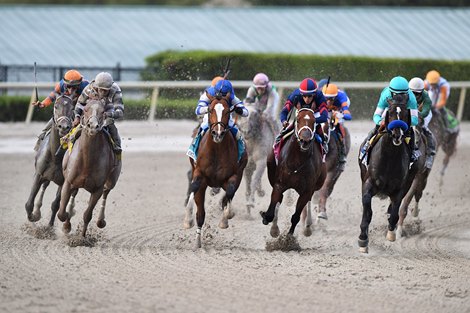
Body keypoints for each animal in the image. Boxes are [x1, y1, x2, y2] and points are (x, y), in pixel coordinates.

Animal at [24, 94, 74, 225]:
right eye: (56, 106)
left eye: (72, 108)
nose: (64, 127)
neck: (55, 156)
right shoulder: (39, 174)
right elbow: (29, 204)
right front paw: (34, 216)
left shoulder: (64, 182)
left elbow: (56, 204)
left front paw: (49, 226)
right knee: (45, 186)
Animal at [56, 98, 121, 238]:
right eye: (85, 110)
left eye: (103, 111)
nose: (93, 126)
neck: (87, 160)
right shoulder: (68, 182)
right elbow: (62, 213)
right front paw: (67, 223)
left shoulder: (97, 189)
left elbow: (87, 215)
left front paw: (81, 238)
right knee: (73, 195)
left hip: (111, 181)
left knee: (106, 193)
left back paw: (101, 221)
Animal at [184, 92, 250, 246]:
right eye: (209, 110)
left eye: (227, 112)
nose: (217, 133)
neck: (216, 150)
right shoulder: (199, 175)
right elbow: (194, 191)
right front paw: (189, 223)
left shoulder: (234, 176)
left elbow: (229, 194)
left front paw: (225, 219)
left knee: (228, 196)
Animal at [260, 107, 326, 236]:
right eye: (298, 120)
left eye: (314, 121)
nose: (305, 140)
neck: (297, 161)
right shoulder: (279, 184)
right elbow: (271, 210)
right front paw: (268, 220)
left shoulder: (306, 190)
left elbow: (296, 216)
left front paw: (289, 237)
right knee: (279, 200)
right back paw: (274, 227)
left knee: (308, 201)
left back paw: (308, 226)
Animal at [358, 95, 420, 254]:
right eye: (390, 112)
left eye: (404, 113)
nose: (397, 134)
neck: (390, 157)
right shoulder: (368, 184)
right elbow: (367, 213)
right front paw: (363, 240)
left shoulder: (399, 188)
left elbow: (394, 214)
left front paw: (391, 234)